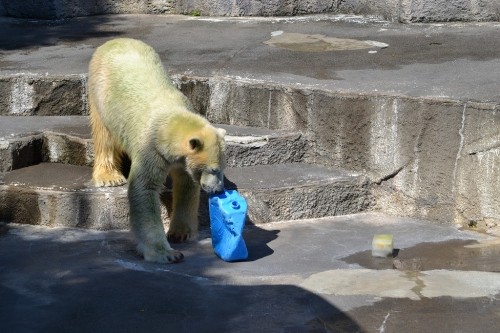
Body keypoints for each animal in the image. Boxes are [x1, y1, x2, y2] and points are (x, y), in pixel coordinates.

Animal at [88, 38, 225, 262]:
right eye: (213, 170)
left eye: (222, 168)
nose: (219, 190)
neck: (169, 120)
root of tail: (113, 41)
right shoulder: (151, 149)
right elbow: (144, 188)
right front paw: (166, 253)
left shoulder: (181, 160)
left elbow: (186, 184)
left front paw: (180, 233)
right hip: (99, 91)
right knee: (104, 136)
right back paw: (109, 177)